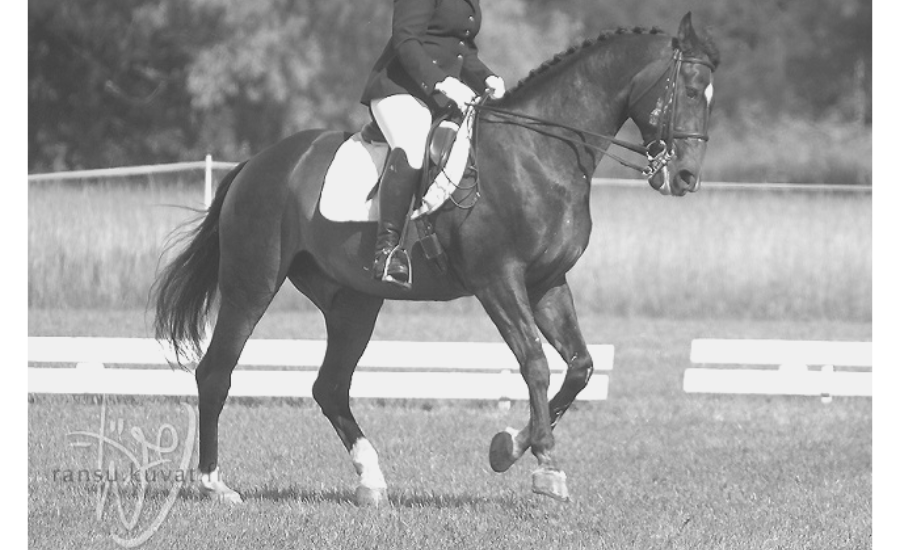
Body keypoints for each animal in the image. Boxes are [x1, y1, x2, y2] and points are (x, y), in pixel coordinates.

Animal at [153, 12, 719, 505]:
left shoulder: (547, 282)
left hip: (354, 302)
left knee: (330, 386)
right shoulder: (498, 280)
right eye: (691, 91)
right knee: (216, 373)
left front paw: (509, 447)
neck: (539, 153)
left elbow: (579, 367)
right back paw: (215, 486)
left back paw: (372, 482)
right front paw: (544, 467)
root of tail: (258, 162)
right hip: (252, 283)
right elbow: (535, 364)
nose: (686, 177)